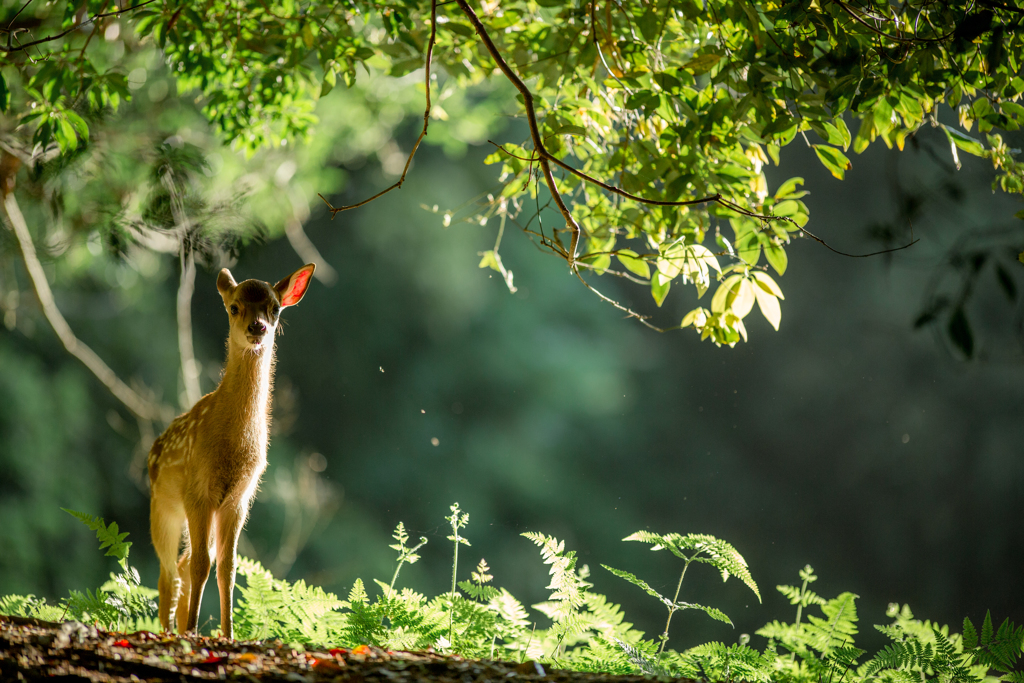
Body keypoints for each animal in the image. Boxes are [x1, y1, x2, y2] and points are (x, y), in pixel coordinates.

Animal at [148, 264, 313, 643]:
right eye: (234, 307)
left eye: (275, 308)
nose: (258, 327)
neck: (232, 446)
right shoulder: (198, 488)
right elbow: (201, 564)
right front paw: (194, 630)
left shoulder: (239, 497)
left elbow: (227, 566)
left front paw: (227, 634)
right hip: (163, 505)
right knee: (169, 571)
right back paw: (169, 630)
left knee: (182, 564)